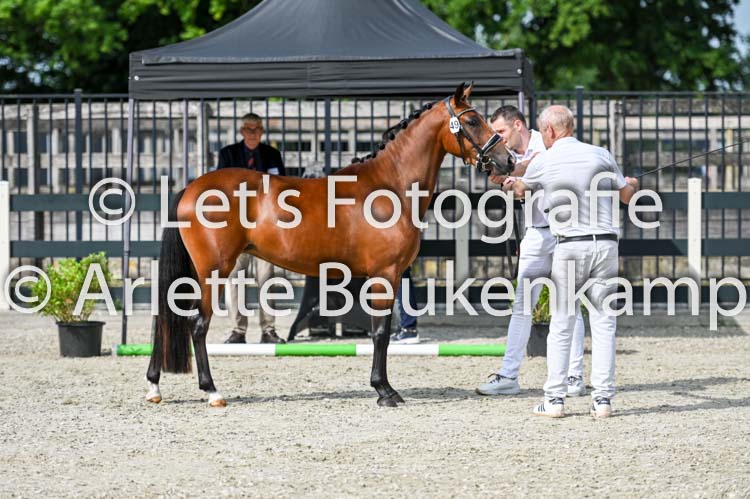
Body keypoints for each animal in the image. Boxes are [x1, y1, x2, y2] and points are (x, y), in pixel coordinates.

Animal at [145, 83, 514, 408]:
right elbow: (380, 333)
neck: (389, 185)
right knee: (197, 325)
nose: (508, 159)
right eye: (471, 120)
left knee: (167, 319)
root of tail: (191, 188)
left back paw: (154, 386)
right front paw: (385, 391)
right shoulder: (384, 275)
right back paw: (212, 392)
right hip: (214, 271)